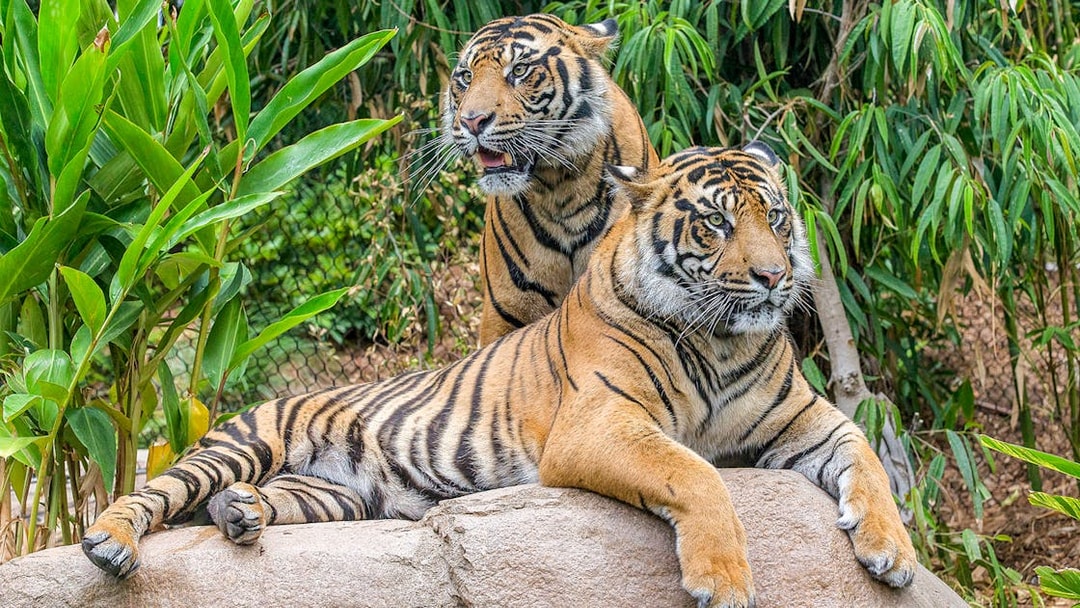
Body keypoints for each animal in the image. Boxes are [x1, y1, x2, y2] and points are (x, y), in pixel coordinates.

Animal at [83, 144, 916, 608]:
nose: (776, 279)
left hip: (336, 496)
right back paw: (111, 544)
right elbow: (696, 473)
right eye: (715, 223)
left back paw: (241, 516)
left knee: (256, 501)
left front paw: (894, 555)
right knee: (157, 493)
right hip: (240, 442)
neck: (721, 342)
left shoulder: (807, 419)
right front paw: (725, 581)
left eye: (775, 218)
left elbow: (867, 460)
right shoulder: (600, 422)